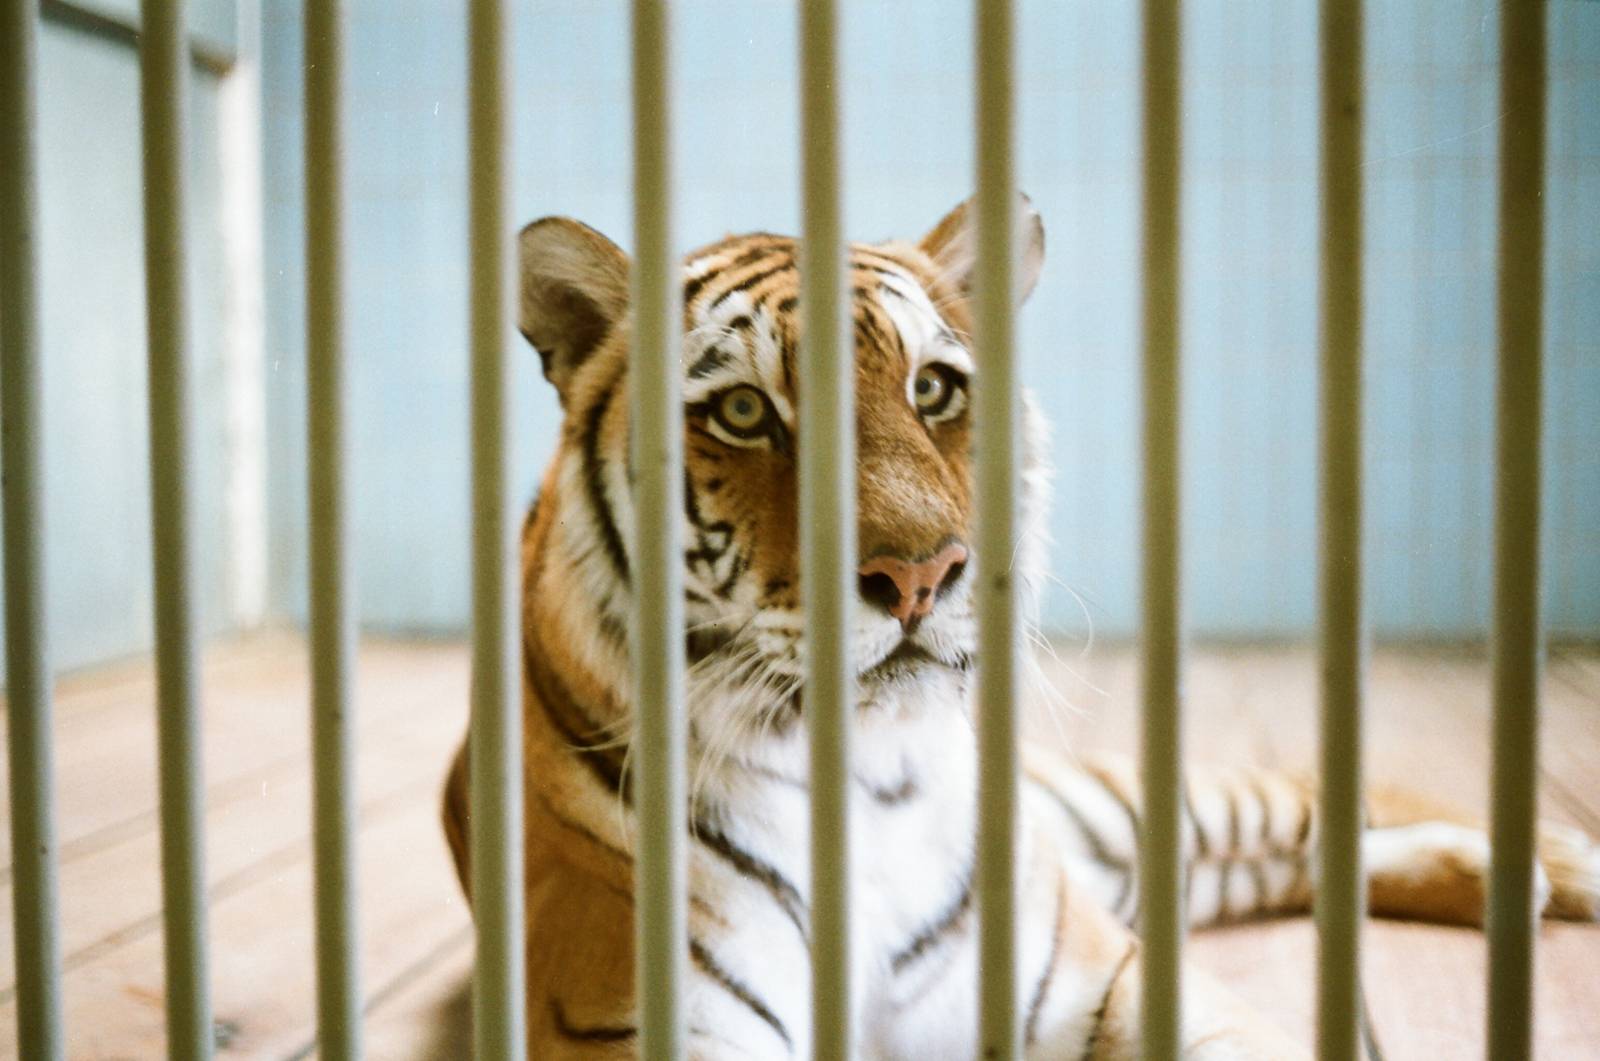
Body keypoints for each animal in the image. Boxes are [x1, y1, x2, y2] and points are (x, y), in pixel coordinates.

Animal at [440, 196, 1600, 1059]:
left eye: (933, 387)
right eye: (741, 413)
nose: (920, 576)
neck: (872, 785)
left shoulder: (1112, 977)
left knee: (1311, 797)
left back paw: (1553, 858)